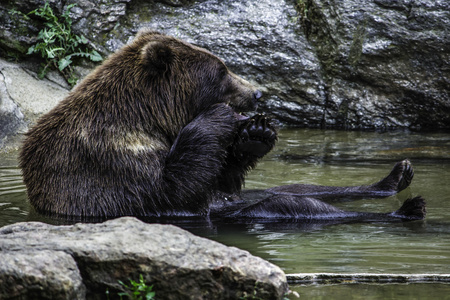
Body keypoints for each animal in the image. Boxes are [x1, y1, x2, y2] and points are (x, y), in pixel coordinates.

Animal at [19, 29, 426, 223]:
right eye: (222, 72)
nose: (257, 92)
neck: (150, 118)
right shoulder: (111, 159)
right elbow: (173, 190)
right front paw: (220, 118)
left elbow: (221, 176)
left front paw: (256, 135)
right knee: (285, 203)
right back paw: (408, 208)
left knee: (300, 187)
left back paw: (395, 178)